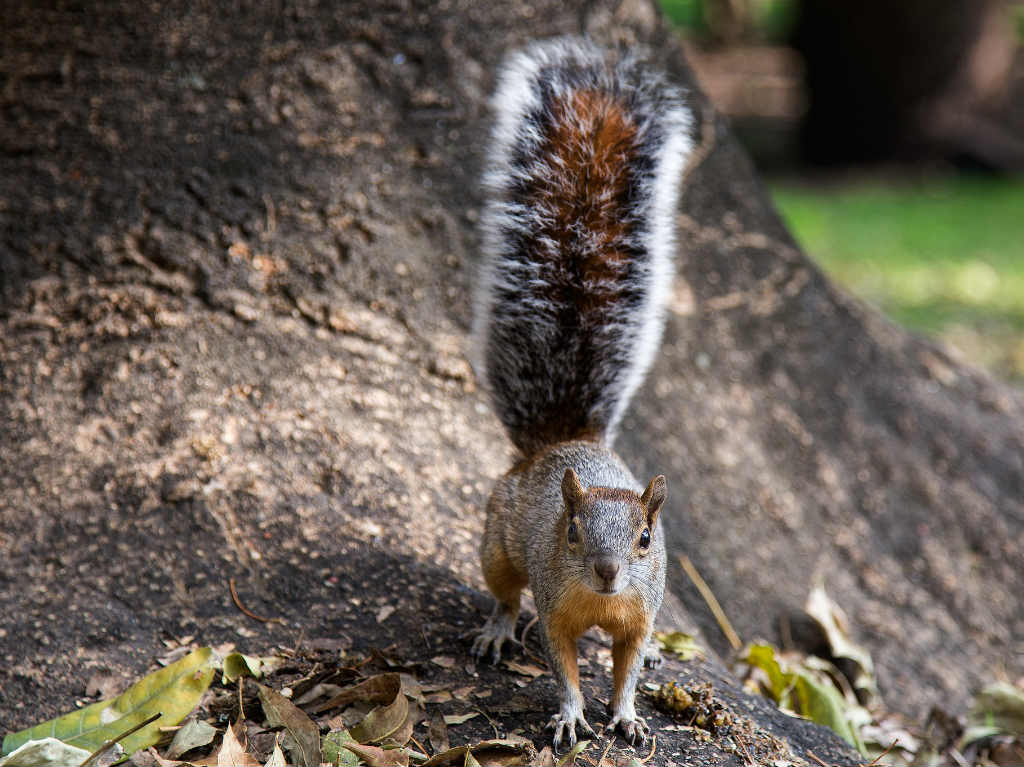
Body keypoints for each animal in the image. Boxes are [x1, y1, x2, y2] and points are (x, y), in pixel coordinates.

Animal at [468, 37, 692, 749]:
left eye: (646, 538)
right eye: (570, 531)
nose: (607, 570)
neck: (601, 603)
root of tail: (561, 441)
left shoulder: (639, 612)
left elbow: (626, 668)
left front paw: (626, 713)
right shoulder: (556, 606)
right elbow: (562, 665)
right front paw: (570, 715)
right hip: (496, 541)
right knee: (503, 589)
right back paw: (497, 628)